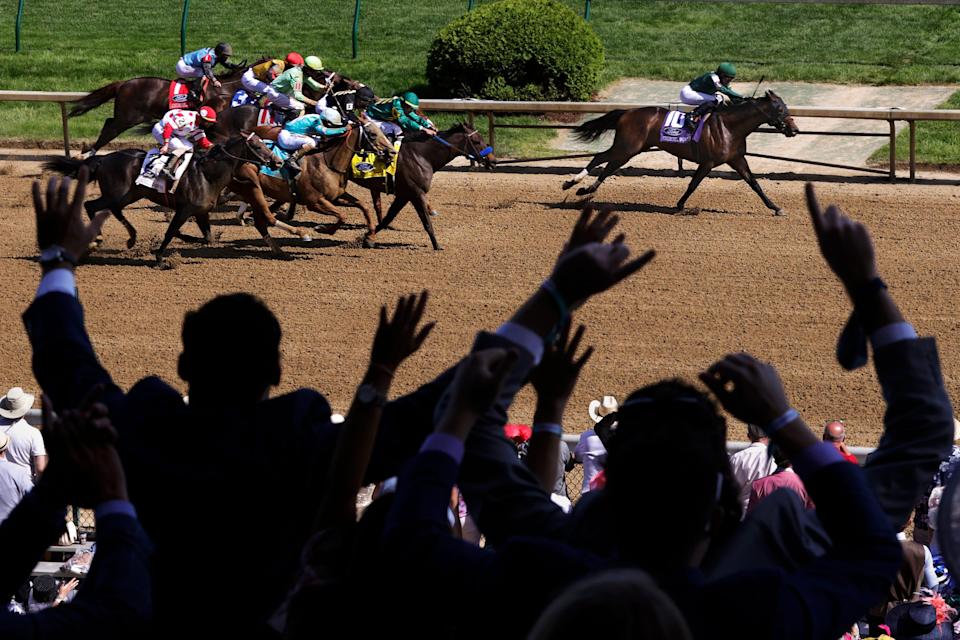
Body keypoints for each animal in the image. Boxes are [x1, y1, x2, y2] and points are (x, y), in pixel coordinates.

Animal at [43, 132, 300, 264]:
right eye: (258, 145)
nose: (278, 162)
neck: (208, 174)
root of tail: (104, 158)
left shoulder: (201, 212)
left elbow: (206, 238)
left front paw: (187, 240)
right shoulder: (185, 209)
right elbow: (170, 232)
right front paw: (159, 257)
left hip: (130, 194)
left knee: (112, 210)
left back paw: (130, 238)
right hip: (117, 194)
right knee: (90, 205)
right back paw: (96, 239)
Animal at [70, 64, 253, 157]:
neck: (225, 88)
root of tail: (123, 84)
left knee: (108, 123)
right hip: (127, 118)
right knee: (110, 129)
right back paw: (89, 153)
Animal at [231, 119, 396, 242]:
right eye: (373, 134)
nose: (392, 152)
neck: (329, 163)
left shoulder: (335, 197)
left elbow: (363, 206)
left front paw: (370, 234)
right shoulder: (315, 202)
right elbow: (342, 216)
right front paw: (323, 229)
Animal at [360, 122, 496, 250]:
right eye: (477, 141)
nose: (493, 160)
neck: (420, 156)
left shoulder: (403, 195)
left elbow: (389, 217)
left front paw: (367, 238)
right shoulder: (415, 193)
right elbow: (426, 221)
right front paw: (437, 245)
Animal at [564, 90, 804, 215]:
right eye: (780, 109)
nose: (794, 130)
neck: (730, 127)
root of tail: (627, 112)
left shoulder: (736, 159)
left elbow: (754, 184)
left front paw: (776, 208)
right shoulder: (707, 162)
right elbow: (693, 184)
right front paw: (679, 205)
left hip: (631, 147)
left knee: (601, 158)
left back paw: (575, 185)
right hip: (628, 148)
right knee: (607, 164)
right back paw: (582, 188)